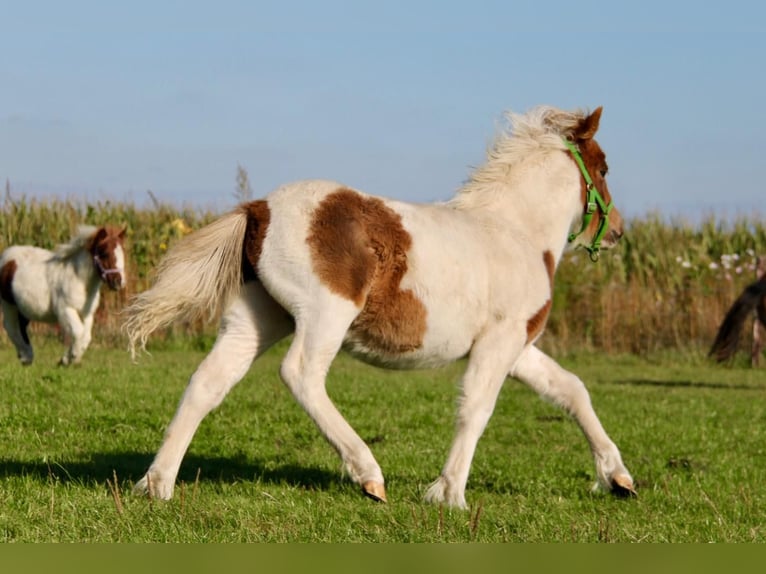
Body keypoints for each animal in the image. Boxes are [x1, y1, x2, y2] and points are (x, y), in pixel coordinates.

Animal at [0, 226, 127, 366]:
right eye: (104, 253)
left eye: (123, 253)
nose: (118, 282)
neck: (79, 280)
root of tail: (6, 257)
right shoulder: (66, 310)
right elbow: (78, 332)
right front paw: (72, 357)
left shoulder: (87, 313)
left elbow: (86, 337)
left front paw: (66, 359)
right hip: (9, 304)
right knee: (11, 326)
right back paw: (26, 357)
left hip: (23, 308)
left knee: (21, 326)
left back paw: (25, 356)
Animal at [126, 104, 636, 508]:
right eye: (604, 168)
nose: (617, 233)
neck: (516, 233)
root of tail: (259, 209)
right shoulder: (500, 341)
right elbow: (476, 408)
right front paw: (449, 495)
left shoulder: (517, 345)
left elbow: (570, 389)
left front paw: (618, 478)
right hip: (326, 314)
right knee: (301, 375)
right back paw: (369, 475)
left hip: (259, 317)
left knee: (208, 381)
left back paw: (157, 484)